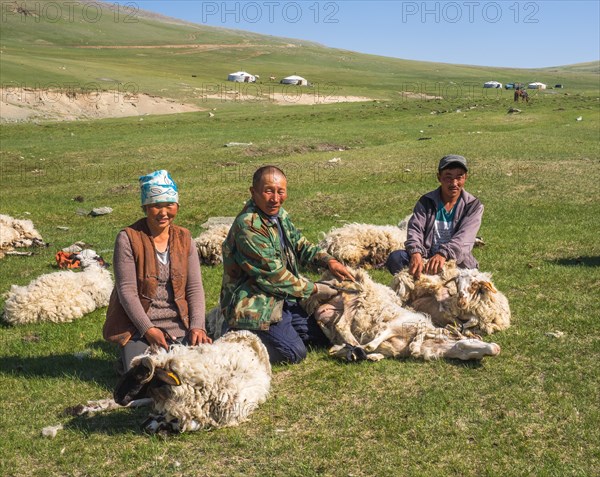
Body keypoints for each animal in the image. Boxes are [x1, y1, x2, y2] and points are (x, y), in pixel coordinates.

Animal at [312, 268, 500, 360]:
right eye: (474, 341)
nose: (496, 348)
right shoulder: (402, 322)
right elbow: (383, 335)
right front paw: (367, 348)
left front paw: (369, 355)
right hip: (354, 296)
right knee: (342, 325)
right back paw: (355, 343)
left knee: (329, 324)